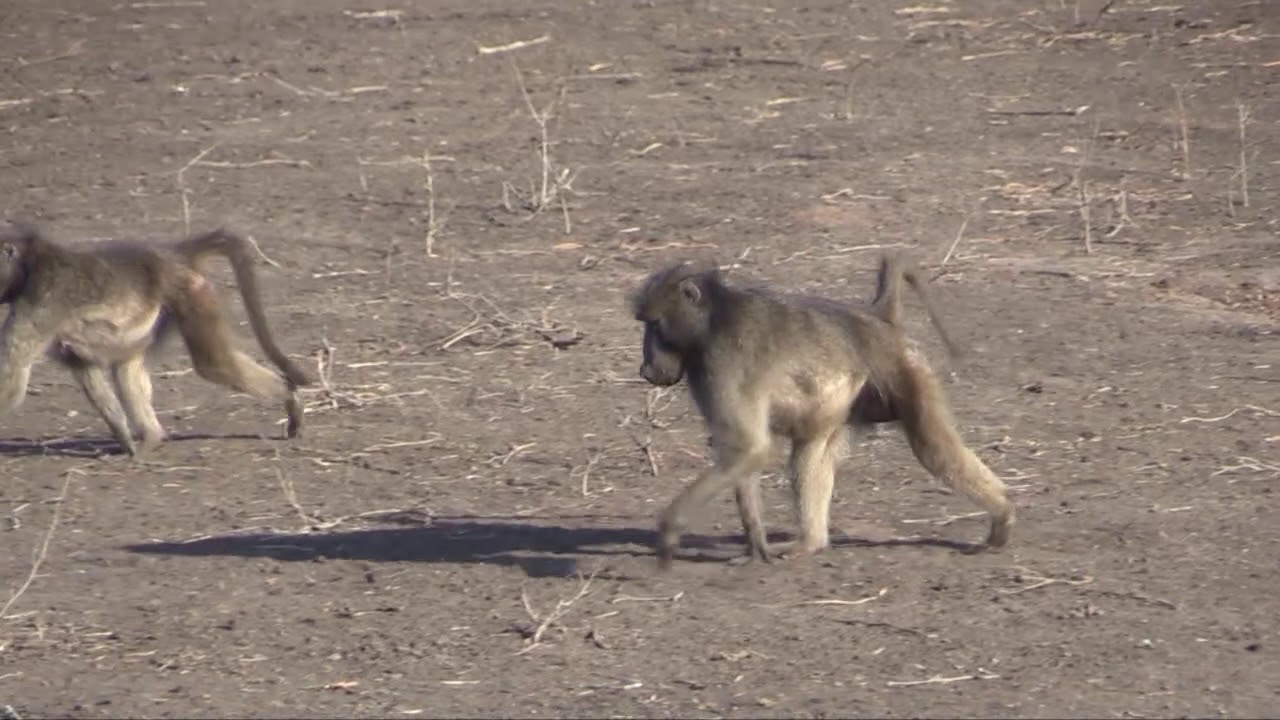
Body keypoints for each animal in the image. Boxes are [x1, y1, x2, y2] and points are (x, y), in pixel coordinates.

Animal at [0, 223, 314, 457]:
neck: (31, 264)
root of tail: (171, 256)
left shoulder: (42, 302)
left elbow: (13, 380)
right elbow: (84, 368)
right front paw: (124, 438)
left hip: (190, 292)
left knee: (214, 364)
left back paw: (290, 395)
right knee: (127, 366)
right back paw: (151, 438)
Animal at [630, 255, 1013, 568]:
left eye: (655, 325)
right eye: (645, 325)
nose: (646, 369)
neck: (712, 321)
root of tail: (877, 319)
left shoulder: (723, 362)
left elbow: (747, 447)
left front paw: (669, 529)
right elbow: (742, 452)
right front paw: (756, 547)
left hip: (906, 371)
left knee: (934, 449)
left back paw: (1003, 514)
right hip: (846, 401)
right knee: (809, 455)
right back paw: (811, 543)